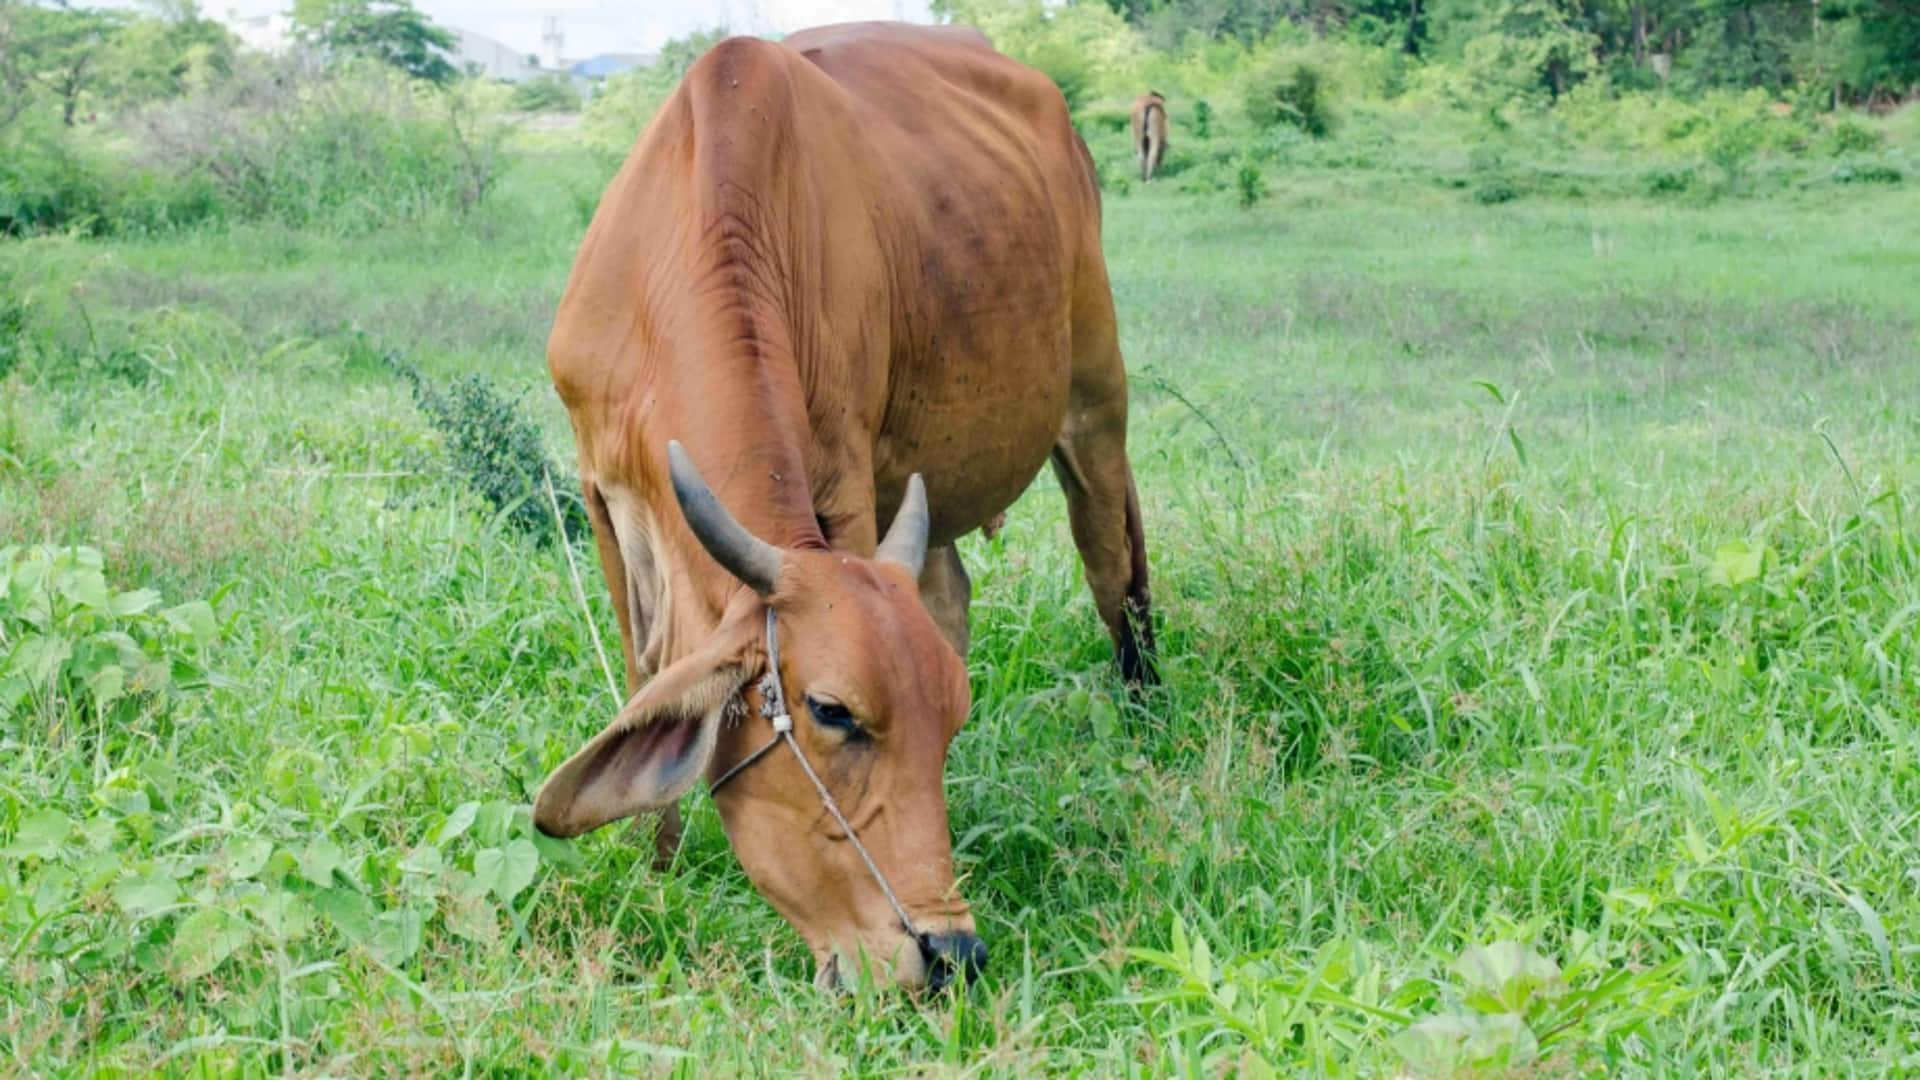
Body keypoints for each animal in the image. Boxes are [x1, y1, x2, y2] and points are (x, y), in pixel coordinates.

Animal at [533, 18, 1152, 991]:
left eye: (951, 721)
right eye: (832, 713)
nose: (949, 954)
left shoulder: (849, 483)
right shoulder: (602, 493)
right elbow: (646, 674)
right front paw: (658, 871)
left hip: (1094, 400)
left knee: (1113, 565)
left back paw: (1144, 718)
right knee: (953, 592)